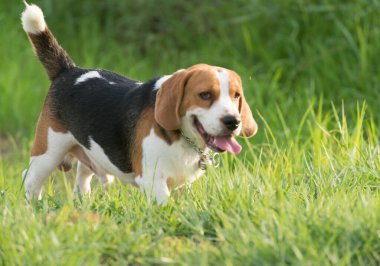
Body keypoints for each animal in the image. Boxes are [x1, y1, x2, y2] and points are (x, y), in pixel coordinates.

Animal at [21, 3, 258, 204]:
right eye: (205, 95)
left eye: (236, 95)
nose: (233, 122)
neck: (182, 138)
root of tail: (69, 71)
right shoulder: (153, 181)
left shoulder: (181, 185)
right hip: (48, 152)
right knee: (30, 178)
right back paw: (34, 208)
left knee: (82, 178)